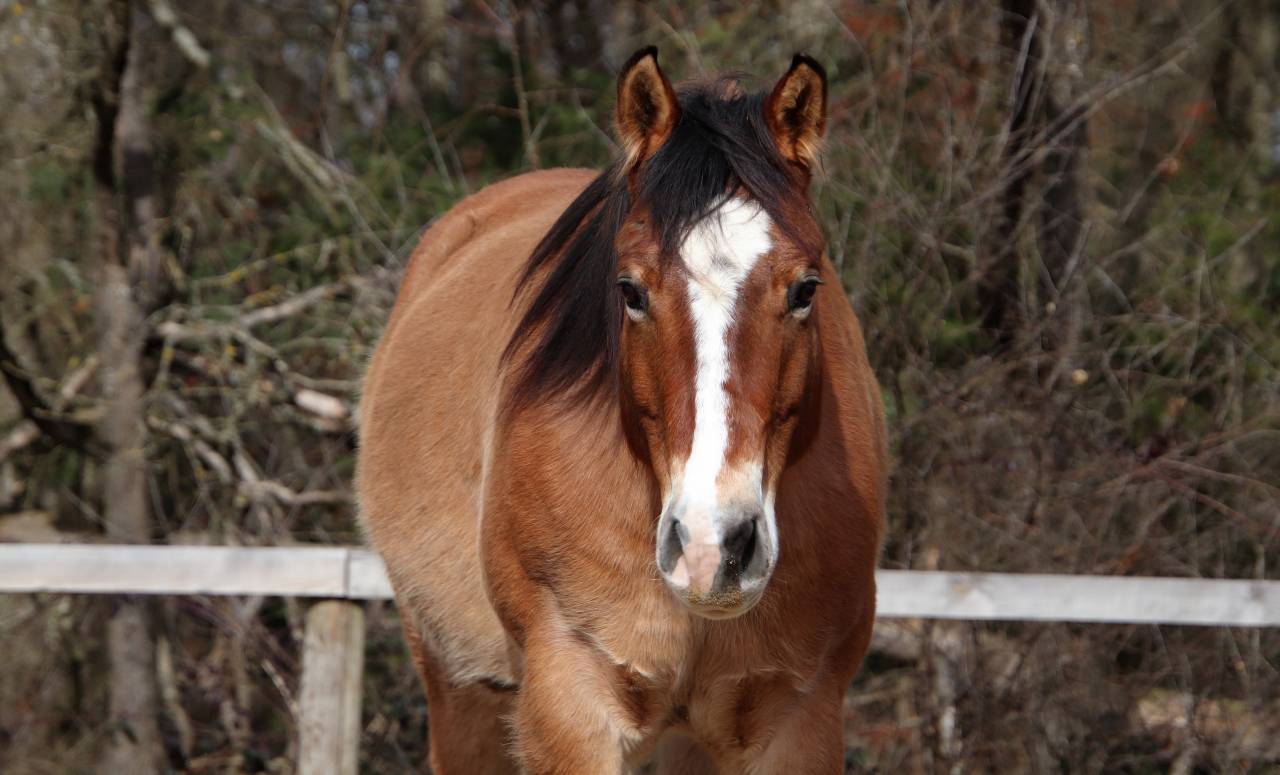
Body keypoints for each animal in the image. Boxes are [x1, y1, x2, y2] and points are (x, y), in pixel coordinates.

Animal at [357, 47, 886, 774]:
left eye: (807, 288)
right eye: (630, 290)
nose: (712, 545)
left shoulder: (799, 720)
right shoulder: (571, 706)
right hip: (457, 692)